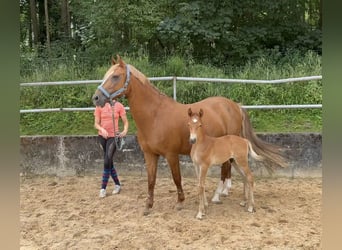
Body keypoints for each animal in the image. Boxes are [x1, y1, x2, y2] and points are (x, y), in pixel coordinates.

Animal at [92, 54, 288, 215]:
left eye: (115, 76)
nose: (96, 98)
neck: (155, 115)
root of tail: (235, 105)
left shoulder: (171, 155)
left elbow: (177, 178)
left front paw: (180, 202)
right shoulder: (149, 155)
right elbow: (151, 180)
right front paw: (148, 206)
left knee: (226, 168)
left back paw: (217, 196)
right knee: (229, 168)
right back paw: (227, 193)